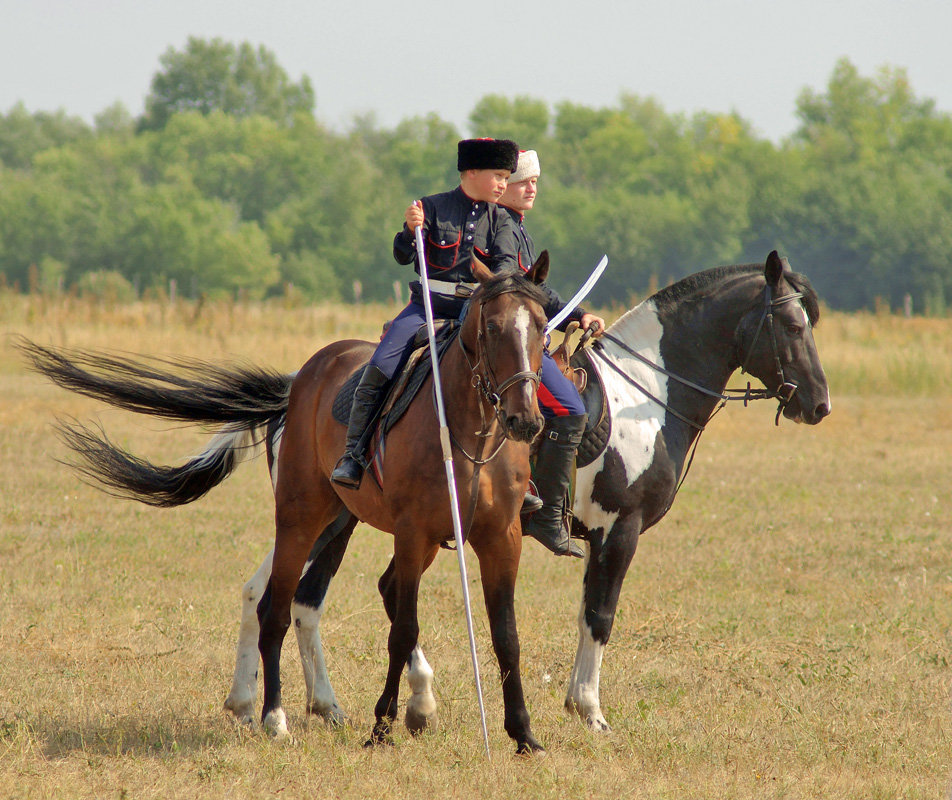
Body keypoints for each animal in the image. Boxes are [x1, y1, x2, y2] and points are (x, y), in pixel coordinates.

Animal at [20, 262, 552, 756]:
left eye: (542, 325)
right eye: (491, 328)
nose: (525, 419)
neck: (468, 433)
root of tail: (300, 381)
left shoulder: (499, 538)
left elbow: (506, 635)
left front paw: (523, 734)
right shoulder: (412, 532)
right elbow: (402, 630)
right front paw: (381, 728)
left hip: (339, 522)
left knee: (290, 598)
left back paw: (303, 704)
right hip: (302, 519)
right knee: (275, 607)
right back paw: (274, 716)